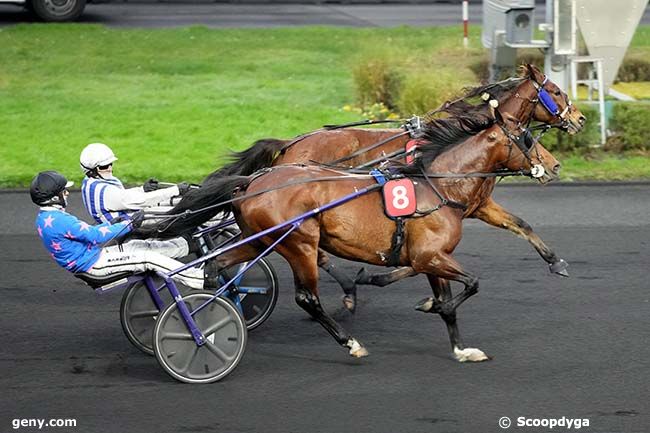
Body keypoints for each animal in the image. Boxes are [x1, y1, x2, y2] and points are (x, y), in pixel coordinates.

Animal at [159, 88, 580, 362]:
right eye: (525, 137)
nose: (556, 164)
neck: (435, 185)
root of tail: (254, 180)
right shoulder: (430, 256)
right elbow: (470, 284)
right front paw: (427, 304)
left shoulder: (434, 256)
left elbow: (451, 298)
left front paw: (461, 347)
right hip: (299, 241)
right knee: (307, 296)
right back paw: (350, 340)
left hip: (258, 238)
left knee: (216, 265)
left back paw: (211, 315)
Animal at [204, 64, 588, 308]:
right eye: (555, 91)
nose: (581, 118)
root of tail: (292, 144)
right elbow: (421, 258)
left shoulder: (476, 205)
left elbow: (520, 224)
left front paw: (555, 261)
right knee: (316, 253)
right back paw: (346, 287)